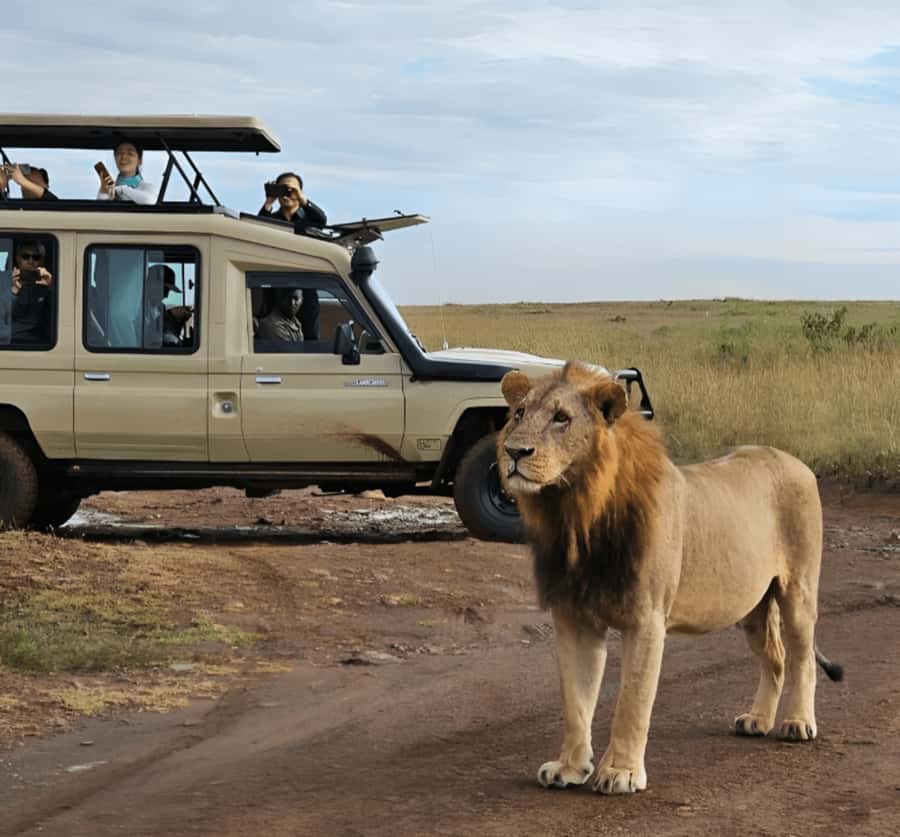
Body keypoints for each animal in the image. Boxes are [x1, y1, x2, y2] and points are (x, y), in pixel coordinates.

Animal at [497, 362, 843, 795]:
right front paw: (570, 768)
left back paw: (797, 723)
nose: (513, 452)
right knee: (775, 659)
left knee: (801, 658)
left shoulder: (646, 619)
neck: (576, 511)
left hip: (798, 590)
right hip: (751, 606)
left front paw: (621, 772)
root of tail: (796, 461)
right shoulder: (575, 619)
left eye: (562, 418)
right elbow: (575, 702)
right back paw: (757, 720)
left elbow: (632, 702)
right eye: (519, 414)